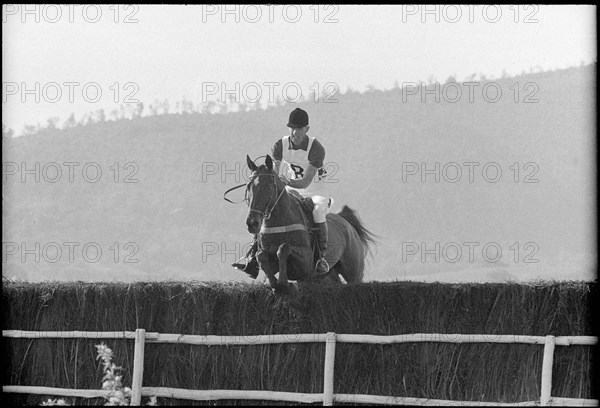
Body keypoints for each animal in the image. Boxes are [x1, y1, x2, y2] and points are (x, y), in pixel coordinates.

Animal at [244, 155, 376, 292]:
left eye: (269, 187)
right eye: (248, 187)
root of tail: (346, 223)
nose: (252, 223)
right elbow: (261, 255)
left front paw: (283, 284)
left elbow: (284, 248)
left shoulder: (305, 263)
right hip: (326, 275)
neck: (278, 222)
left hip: (354, 273)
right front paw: (276, 284)